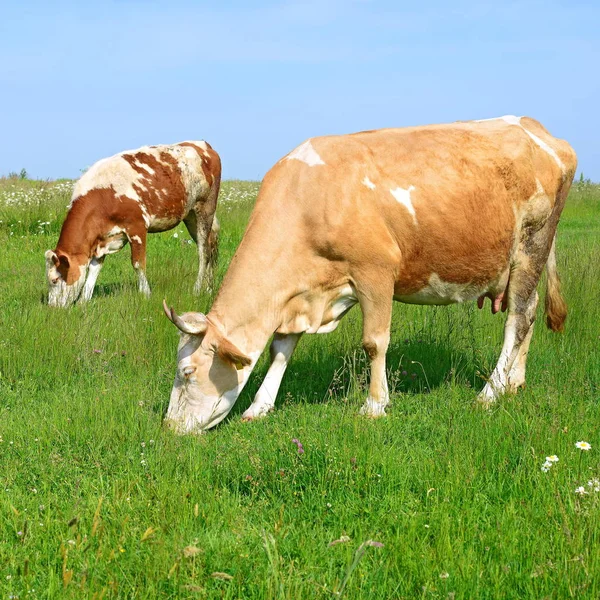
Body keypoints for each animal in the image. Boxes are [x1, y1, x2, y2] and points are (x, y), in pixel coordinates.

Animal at [44, 141, 221, 308]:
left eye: (54, 280)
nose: (52, 308)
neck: (104, 196)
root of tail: (202, 144)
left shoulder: (137, 227)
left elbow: (138, 263)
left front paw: (146, 294)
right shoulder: (102, 239)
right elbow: (94, 269)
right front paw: (83, 301)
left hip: (205, 208)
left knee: (203, 252)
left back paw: (197, 289)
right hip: (190, 216)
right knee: (210, 246)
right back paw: (208, 288)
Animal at [162, 117, 576, 434]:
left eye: (187, 371)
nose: (169, 428)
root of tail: (535, 128)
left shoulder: (375, 272)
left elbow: (374, 343)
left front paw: (375, 405)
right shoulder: (301, 292)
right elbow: (281, 348)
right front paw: (259, 407)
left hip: (532, 244)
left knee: (517, 319)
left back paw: (490, 392)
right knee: (530, 311)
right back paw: (513, 383)